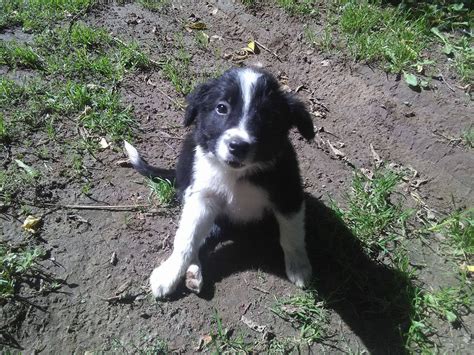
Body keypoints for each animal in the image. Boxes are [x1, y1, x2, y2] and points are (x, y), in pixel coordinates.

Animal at [125, 66, 314, 298]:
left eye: (267, 116)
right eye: (221, 108)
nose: (238, 146)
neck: (236, 174)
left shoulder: (289, 193)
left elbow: (292, 235)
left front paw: (299, 266)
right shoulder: (203, 197)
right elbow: (186, 238)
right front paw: (169, 273)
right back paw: (193, 272)